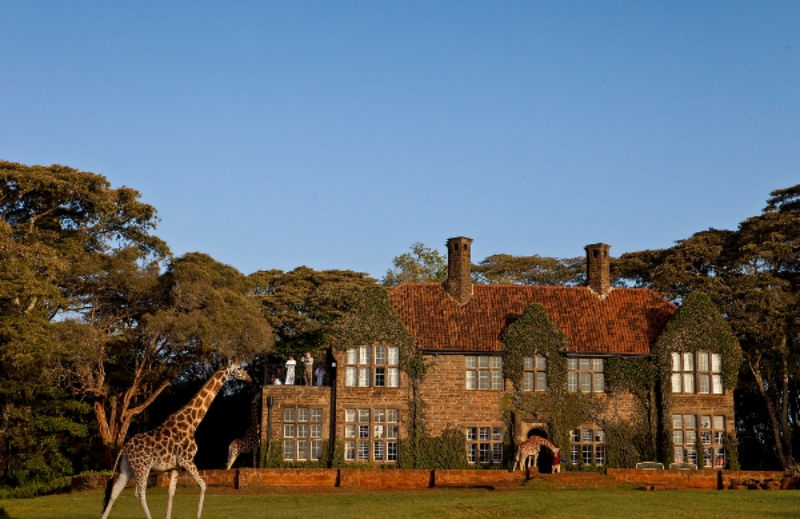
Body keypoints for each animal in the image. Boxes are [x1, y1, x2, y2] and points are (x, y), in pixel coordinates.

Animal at [101, 361, 252, 519]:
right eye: (239, 368)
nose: (250, 379)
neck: (192, 424)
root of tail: (124, 448)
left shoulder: (176, 466)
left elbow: (171, 492)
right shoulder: (187, 460)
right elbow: (203, 485)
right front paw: (198, 516)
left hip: (127, 468)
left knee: (114, 492)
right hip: (142, 467)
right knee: (140, 493)